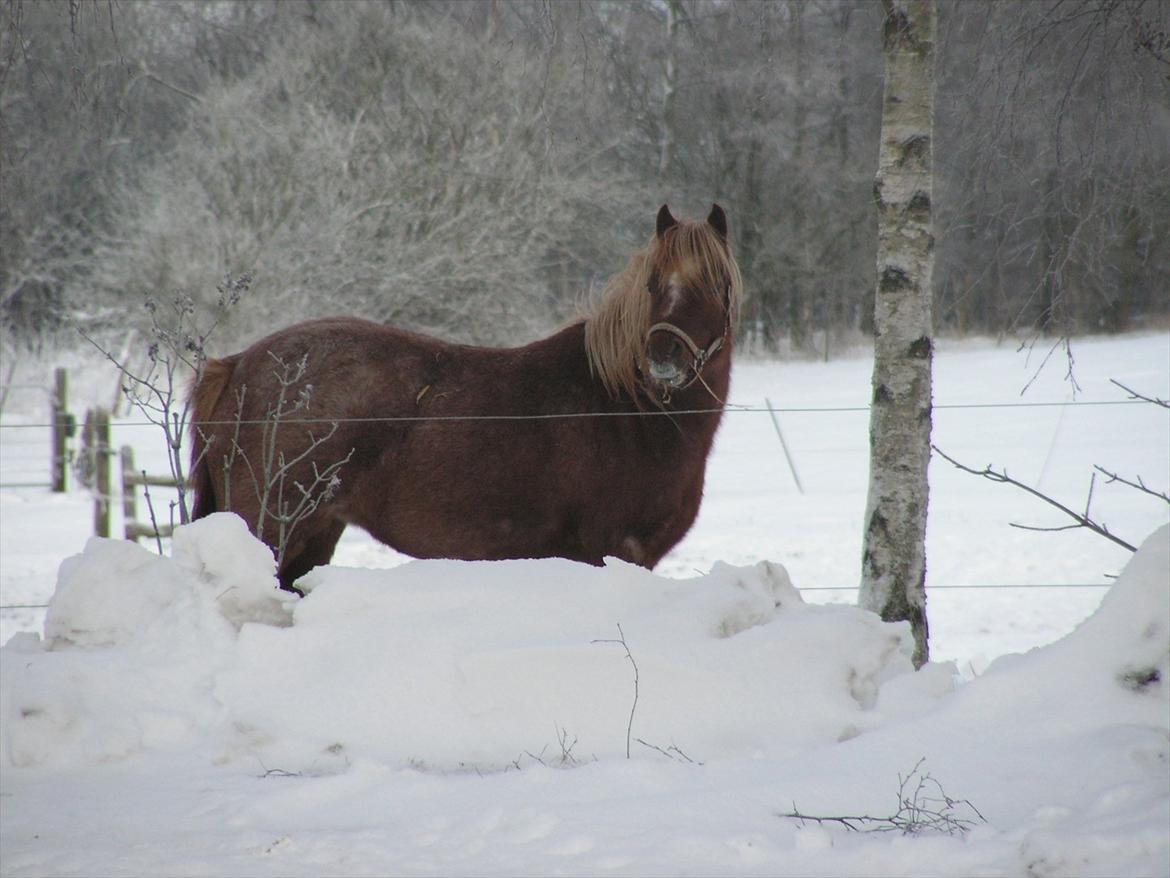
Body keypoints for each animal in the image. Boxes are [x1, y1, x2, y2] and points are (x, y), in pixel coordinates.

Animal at [189, 206, 739, 592]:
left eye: (716, 284)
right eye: (653, 284)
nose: (662, 355)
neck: (629, 411)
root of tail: (237, 365)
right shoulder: (610, 551)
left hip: (316, 534)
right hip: (271, 529)